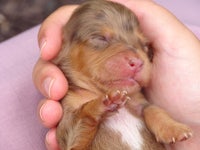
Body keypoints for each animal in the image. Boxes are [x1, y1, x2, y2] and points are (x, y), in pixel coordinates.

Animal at [53, 0, 192, 149]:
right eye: (100, 38)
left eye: (145, 45)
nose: (137, 62)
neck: (98, 91)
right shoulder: (68, 123)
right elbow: (81, 118)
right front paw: (104, 103)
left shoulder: (139, 102)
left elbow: (153, 109)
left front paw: (174, 128)